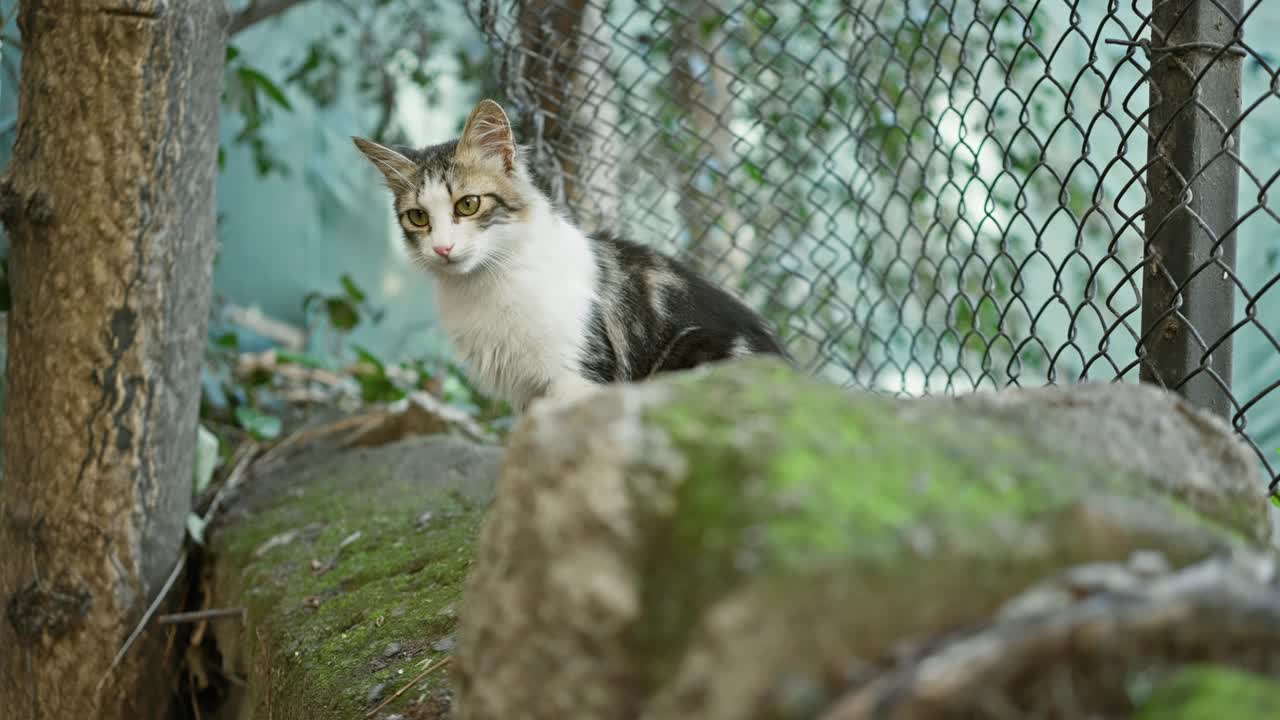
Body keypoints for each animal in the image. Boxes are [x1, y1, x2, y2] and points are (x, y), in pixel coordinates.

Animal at [355, 98, 783, 412]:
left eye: (468, 204)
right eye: (418, 217)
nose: (442, 248)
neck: (485, 285)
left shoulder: (576, 376)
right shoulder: (527, 393)